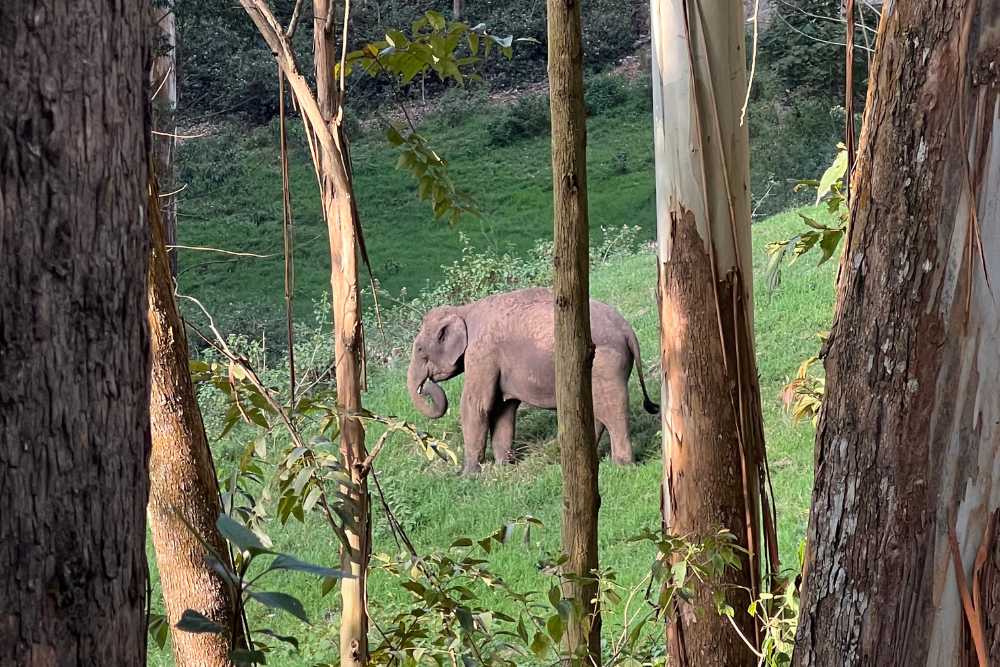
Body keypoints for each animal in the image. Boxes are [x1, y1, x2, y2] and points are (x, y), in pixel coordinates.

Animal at [406, 287, 659, 474]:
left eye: (419, 349)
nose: (425, 386)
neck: (464, 310)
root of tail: (627, 330)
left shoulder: (481, 353)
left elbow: (476, 406)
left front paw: (469, 475)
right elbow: (504, 409)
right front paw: (503, 467)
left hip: (606, 364)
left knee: (613, 410)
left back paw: (623, 466)